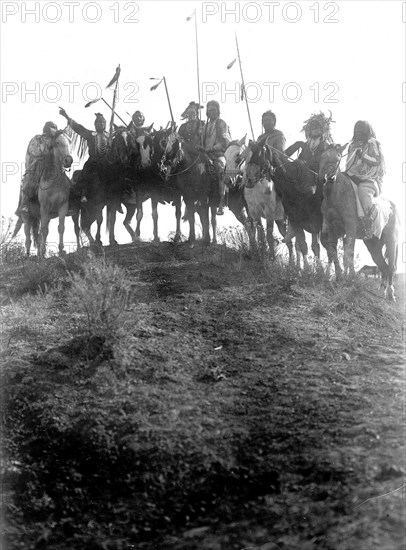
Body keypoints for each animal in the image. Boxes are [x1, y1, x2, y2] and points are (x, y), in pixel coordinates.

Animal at [318, 144, 400, 302]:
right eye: (322, 157)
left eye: (337, 158)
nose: (326, 178)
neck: (336, 194)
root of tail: (393, 207)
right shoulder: (331, 229)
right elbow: (332, 252)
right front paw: (335, 277)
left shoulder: (350, 228)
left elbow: (348, 254)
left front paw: (348, 279)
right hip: (374, 246)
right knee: (383, 266)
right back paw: (383, 292)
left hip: (391, 241)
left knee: (391, 267)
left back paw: (390, 293)